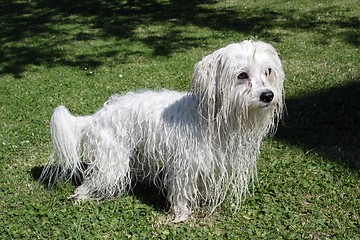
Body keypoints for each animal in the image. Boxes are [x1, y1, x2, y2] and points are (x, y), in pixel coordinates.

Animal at [40, 40, 286, 222]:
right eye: (242, 75)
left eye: (268, 72)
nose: (268, 95)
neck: (212, 119)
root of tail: (96, 116)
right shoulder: (185, 165)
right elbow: (181, 191)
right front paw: (181, 214)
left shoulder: (208, 164)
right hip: (110, 164)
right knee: (88, 183)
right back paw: (81, 198)